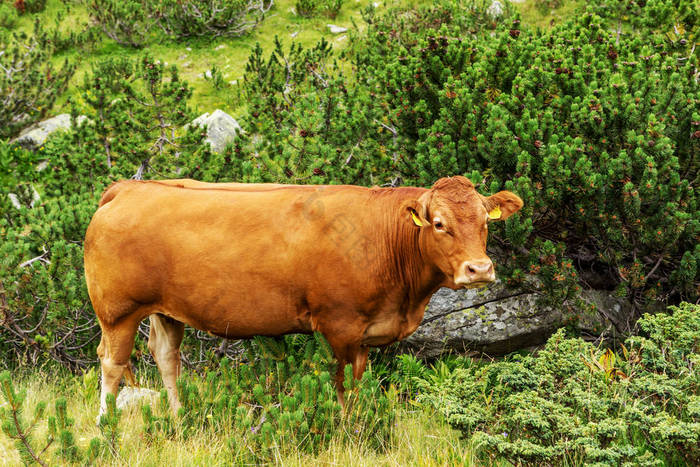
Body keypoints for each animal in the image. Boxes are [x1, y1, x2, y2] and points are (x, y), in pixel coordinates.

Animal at [85, 177, 524, 414]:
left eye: (485, 221)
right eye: (438, 223)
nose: (479, 269)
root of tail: (129, 188)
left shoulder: (365, 335)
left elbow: (359, 385)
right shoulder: (340, 326)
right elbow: (343, 388)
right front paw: (348, 428)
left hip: (166, 310)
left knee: (166, 356)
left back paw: (179, 417)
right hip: (118, 311)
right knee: (111, 363)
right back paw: (106, 427)